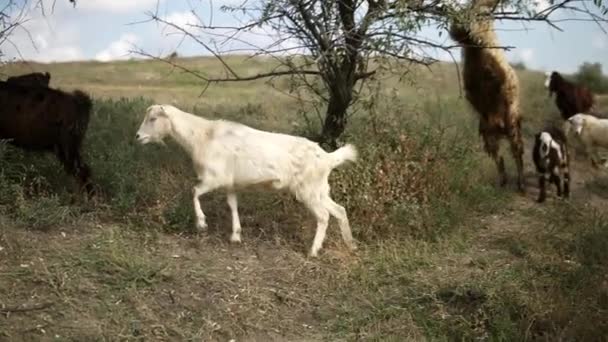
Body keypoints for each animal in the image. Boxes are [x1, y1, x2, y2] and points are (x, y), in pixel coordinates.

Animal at [135, 104, 358, 256]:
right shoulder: (230, 184)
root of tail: (328, 158)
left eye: (153, 118)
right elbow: (232, 205)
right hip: (319, 189)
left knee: (323, 216)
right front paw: (236, 235)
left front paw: (201, 223)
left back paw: (313, 251)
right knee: (339, 210)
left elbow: (194, 191)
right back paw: (351, 244)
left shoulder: (214, 178)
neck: (202, 137)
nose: (137, 136)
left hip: (307, 190)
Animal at [448, 0, 524, 192]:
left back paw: (520, 183)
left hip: (511, 125)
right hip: (487, 130)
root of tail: (500, 126)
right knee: (499, 158)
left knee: (517, 153)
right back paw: (503, 180)